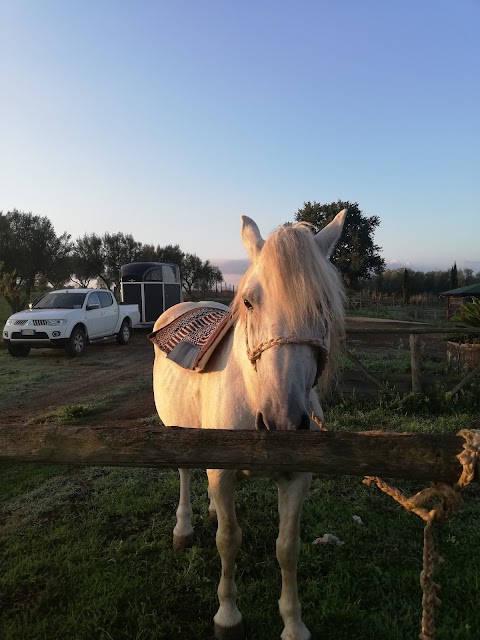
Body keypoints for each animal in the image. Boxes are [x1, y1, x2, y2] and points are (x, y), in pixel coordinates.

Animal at [153, 211, 344, 640]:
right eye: (249, 302)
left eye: (323, 304)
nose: (282, 421)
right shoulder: (222, 474)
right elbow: (228, 540)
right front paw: (228, 616)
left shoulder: (297, 477)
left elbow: (287, 547)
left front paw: (293, 625)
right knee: (186, 474)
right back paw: (184, 528)